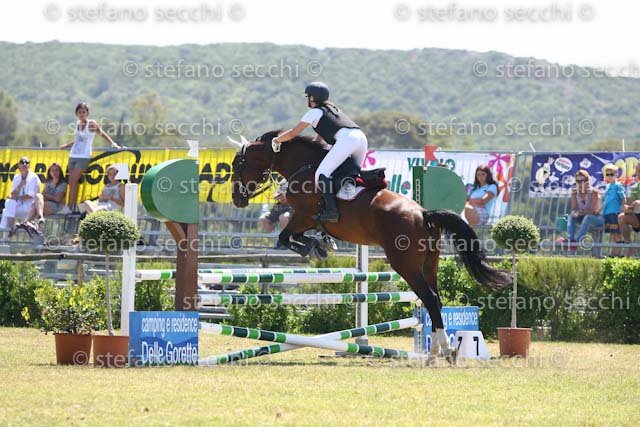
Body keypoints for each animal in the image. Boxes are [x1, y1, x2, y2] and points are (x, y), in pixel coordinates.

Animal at [229, 130, 512, 361]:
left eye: (236, 164)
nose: (237, 200)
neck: (304, 167)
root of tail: (423, 213)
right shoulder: (309, 220)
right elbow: (302, 234)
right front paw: (322, 243)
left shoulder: (304, 216)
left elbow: (285, 237)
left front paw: (312, 247)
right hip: (429, 264)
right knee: (436, 299)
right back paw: (438, 351)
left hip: (406, 265)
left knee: (429, 299)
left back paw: (442, 350)